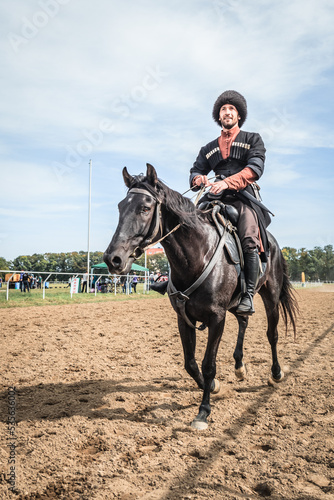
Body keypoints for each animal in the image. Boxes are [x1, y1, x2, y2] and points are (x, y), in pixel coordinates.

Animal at [104, 164, 298, 430]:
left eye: (145, 208)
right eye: (120, 207)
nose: (112, 259)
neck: (198, 257)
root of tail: (275, 244)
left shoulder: (217, 318)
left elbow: (208, 365)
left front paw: (203, 411)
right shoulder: (184, 318)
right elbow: (190, 363)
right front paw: (214, 387)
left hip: (271, 295)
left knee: (272, 334)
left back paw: (276, 373)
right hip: (237, 304)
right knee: (244, 321)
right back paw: (239, 366)